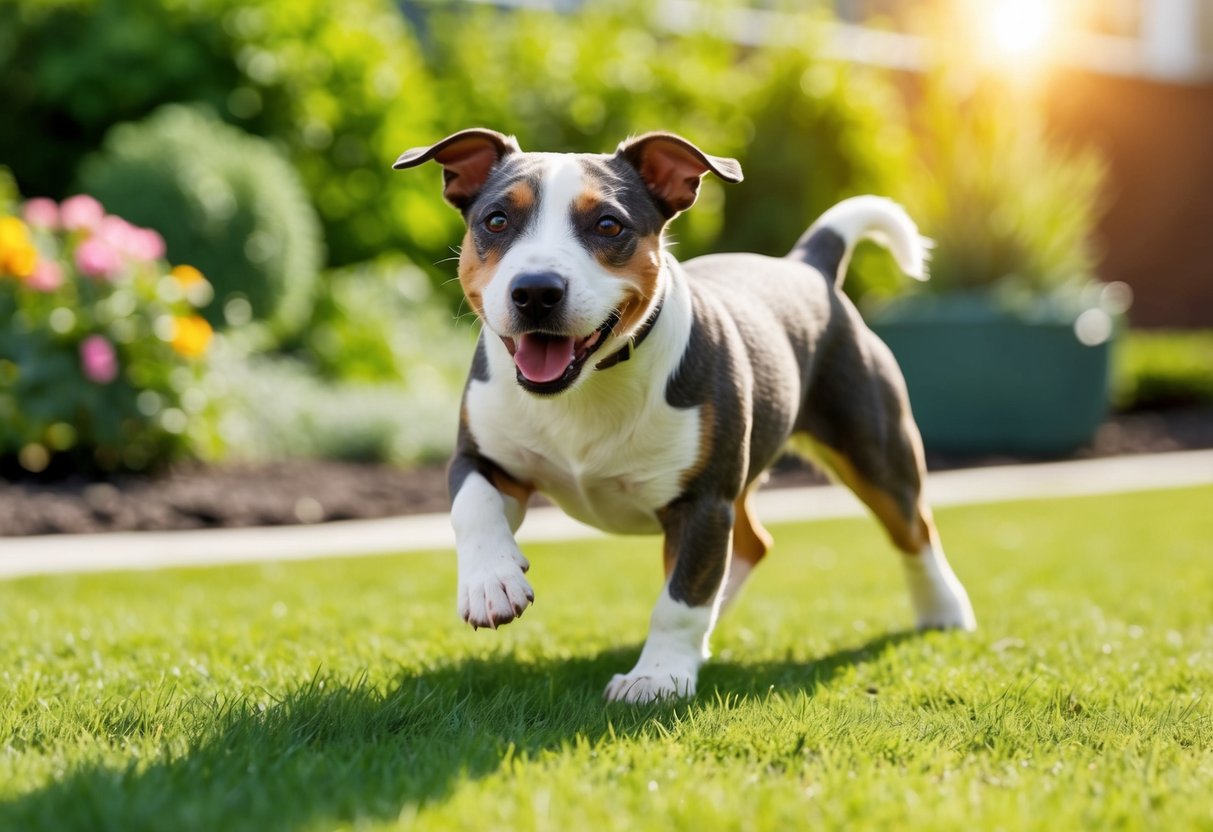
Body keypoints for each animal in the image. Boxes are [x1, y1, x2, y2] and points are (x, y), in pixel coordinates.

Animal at [393, 128, 980, 703]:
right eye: (496, 220)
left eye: (609, 224)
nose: (536, 290)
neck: (586, 387)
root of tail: (807, 267)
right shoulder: (481, 456)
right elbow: (473, 504)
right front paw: (490, 582)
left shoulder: (703, 502)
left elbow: (681, 599)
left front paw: (658, 677)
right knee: (752, 545)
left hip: (873, 447)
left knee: (912, 527)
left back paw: (944, 610)